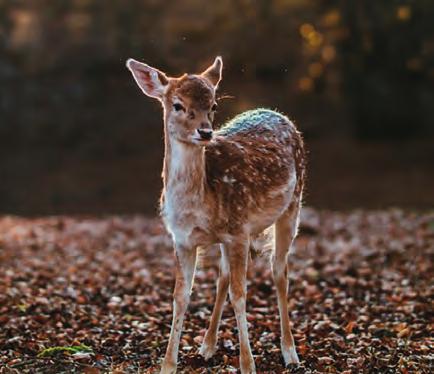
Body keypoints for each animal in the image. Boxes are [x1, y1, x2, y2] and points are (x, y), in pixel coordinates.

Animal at [126, 56, 306, 374]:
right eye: (177, 104)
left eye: (213, 105)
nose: (206, 131)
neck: (197, 206)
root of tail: (278, 114)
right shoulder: (182, 240)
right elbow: (181, 296)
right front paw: (168, 365)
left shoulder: (239, 231)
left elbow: (240, 295)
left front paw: (248, 365)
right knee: (223, 276)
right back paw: (207, 346)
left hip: (292, 206)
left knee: (279, 271)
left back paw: (290, 353)